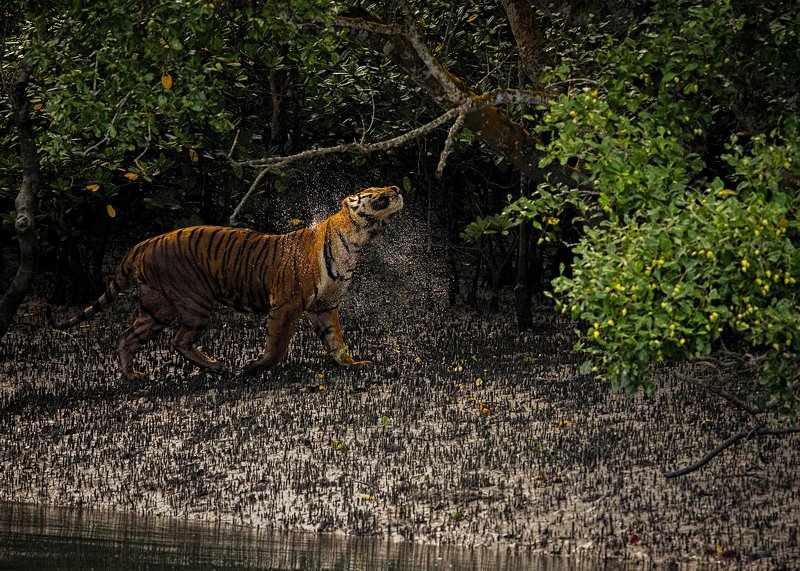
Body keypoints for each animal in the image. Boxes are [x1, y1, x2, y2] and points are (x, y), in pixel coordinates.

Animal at [47, 186, 403, 380]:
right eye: (376, 191)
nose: (398, 189)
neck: (358, 241)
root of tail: (144, 243)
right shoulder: (287, 303)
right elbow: (277, 346)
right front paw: (254, 367)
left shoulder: (325, 305)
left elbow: (335, 340)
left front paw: (352, 363)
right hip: (194, 300)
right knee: (178, 340)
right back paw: (218, 367)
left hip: (157, 307)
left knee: (127, 336)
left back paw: (132, 374)